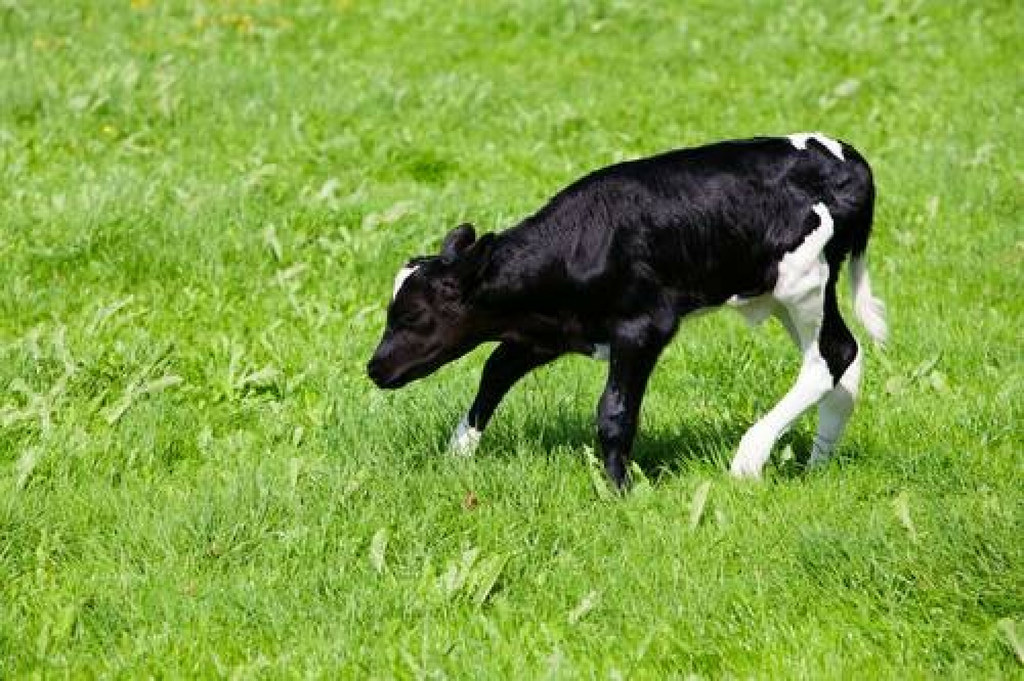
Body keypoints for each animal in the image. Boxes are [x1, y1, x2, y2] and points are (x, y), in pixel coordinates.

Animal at [368, 131, 888, 483]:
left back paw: (748, 459)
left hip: (803, 282)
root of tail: (848, 156)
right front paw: (458, 454)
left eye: (412, 315)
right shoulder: (547, 333)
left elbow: (614, 412)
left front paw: (620, 488)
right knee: (845, 358)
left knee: (832, 356)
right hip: (780, 293)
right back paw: (818, 463)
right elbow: (494, 373)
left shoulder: (643, 328)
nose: (374, 368)